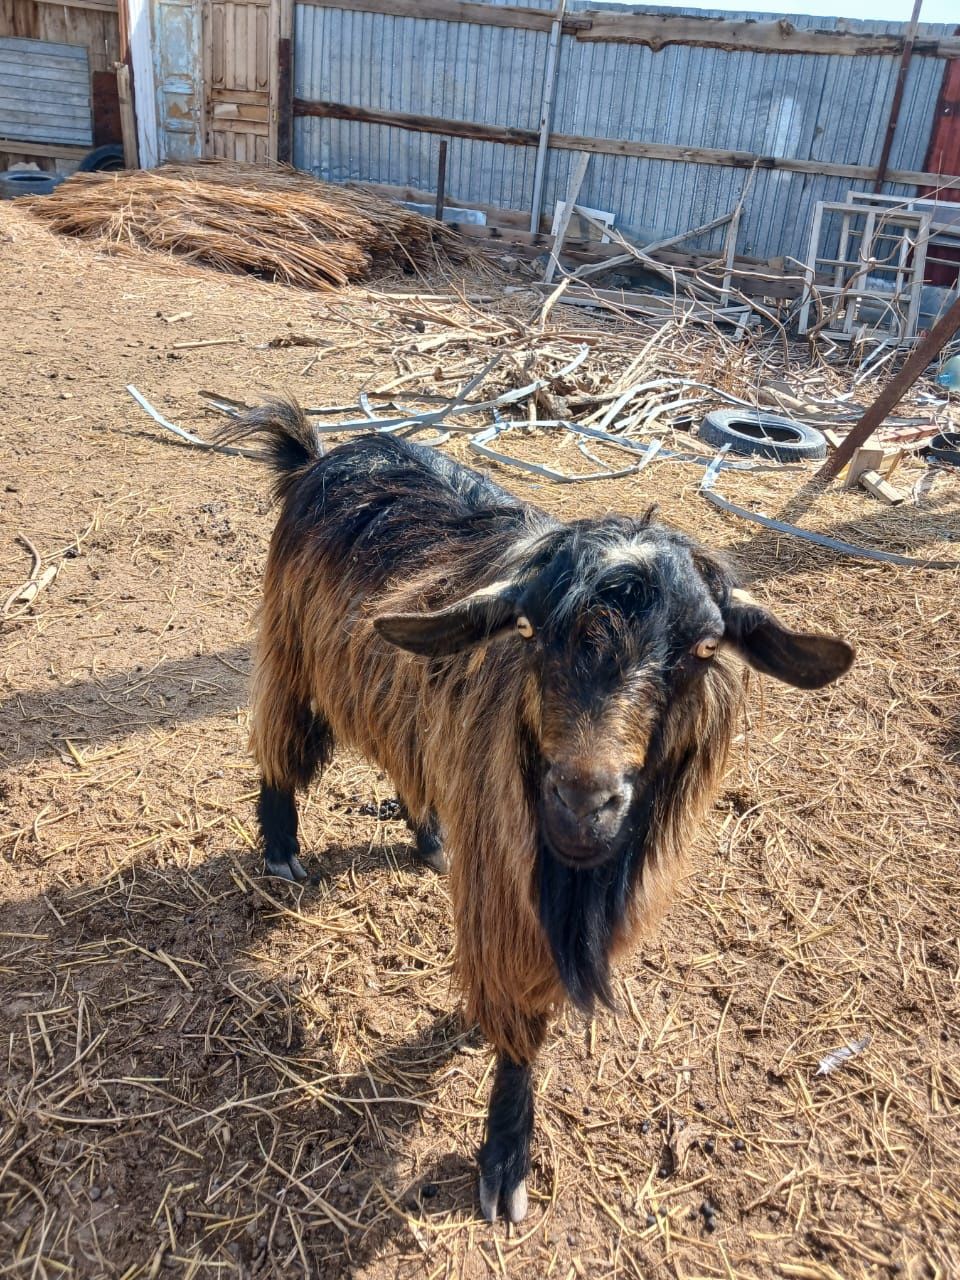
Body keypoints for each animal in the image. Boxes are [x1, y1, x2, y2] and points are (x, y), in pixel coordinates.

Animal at [220, 394, 855, 1223]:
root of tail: (319, 455)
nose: (583, 802)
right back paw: (282, 848)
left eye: (704, 649)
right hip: (293, 647)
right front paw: (505, 1156)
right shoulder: (505, 881)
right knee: (278, 740)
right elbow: (519, 1027)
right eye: (530, 630)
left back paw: (430, 839)